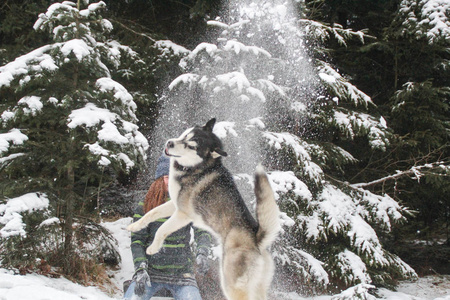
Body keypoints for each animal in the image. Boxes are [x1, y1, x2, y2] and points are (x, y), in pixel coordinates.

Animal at [126, 118, 280, 298]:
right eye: (185, 136)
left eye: (192, 146)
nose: (170, 143)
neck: (194, 168)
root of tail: (257, 238)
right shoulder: (174, 204)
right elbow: (151, 213)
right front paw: (135, 225)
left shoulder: (183, 214)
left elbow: (162, 229)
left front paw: (153, 248)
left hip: (231, 282)